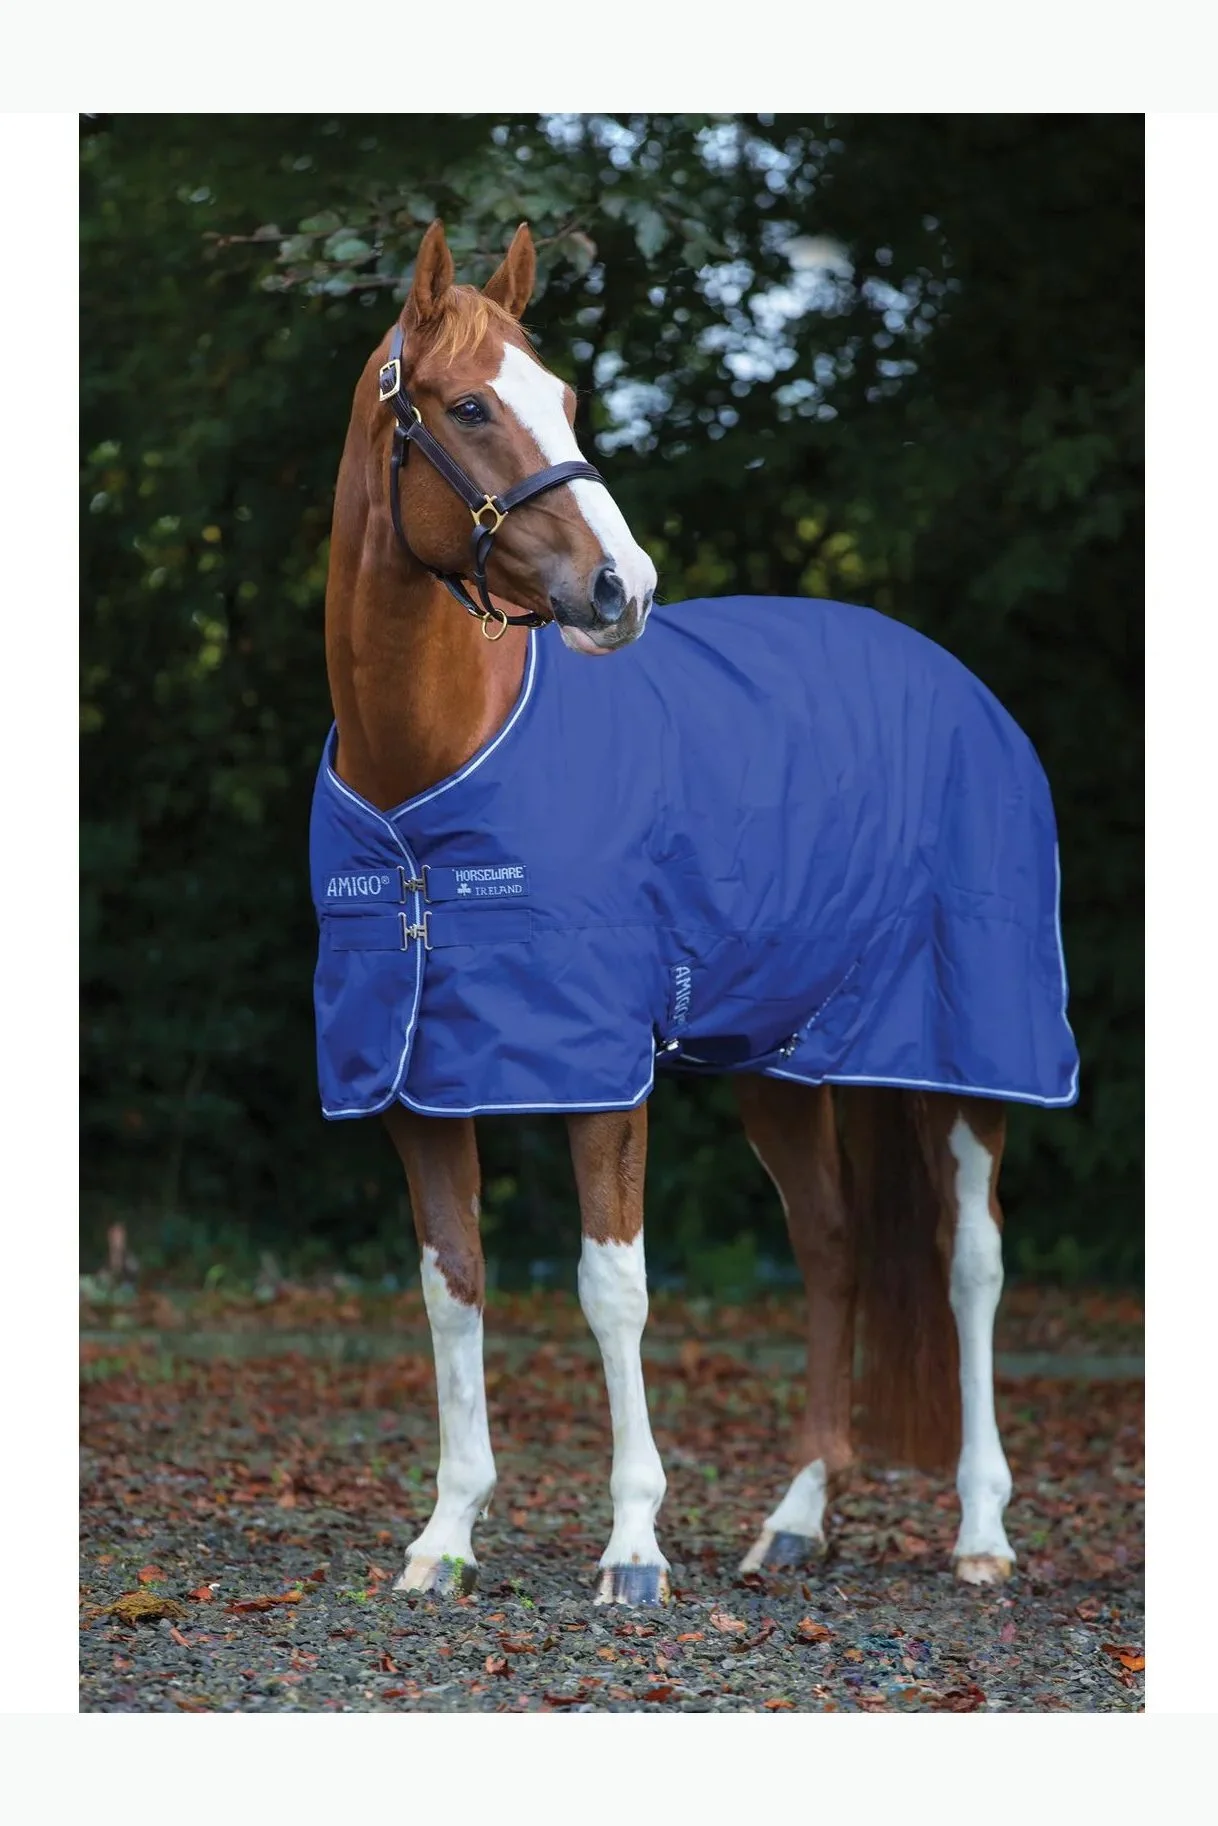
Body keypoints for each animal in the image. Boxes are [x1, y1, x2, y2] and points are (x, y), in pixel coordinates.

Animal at [316, 218, 1078, 1605]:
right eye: (468, 405)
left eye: (565, 397)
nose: (623, 586)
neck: (427, 782)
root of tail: (960, 684)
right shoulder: (417, 1081)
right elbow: (453, 1285)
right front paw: (444, 1536)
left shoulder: (600, 1069)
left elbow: (612, 1287)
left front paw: (632, 1548)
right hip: (779, 1060)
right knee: (833, 1243)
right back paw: (796, 1518)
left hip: (967, 1055)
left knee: (972, 1256)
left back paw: (983, 1532)